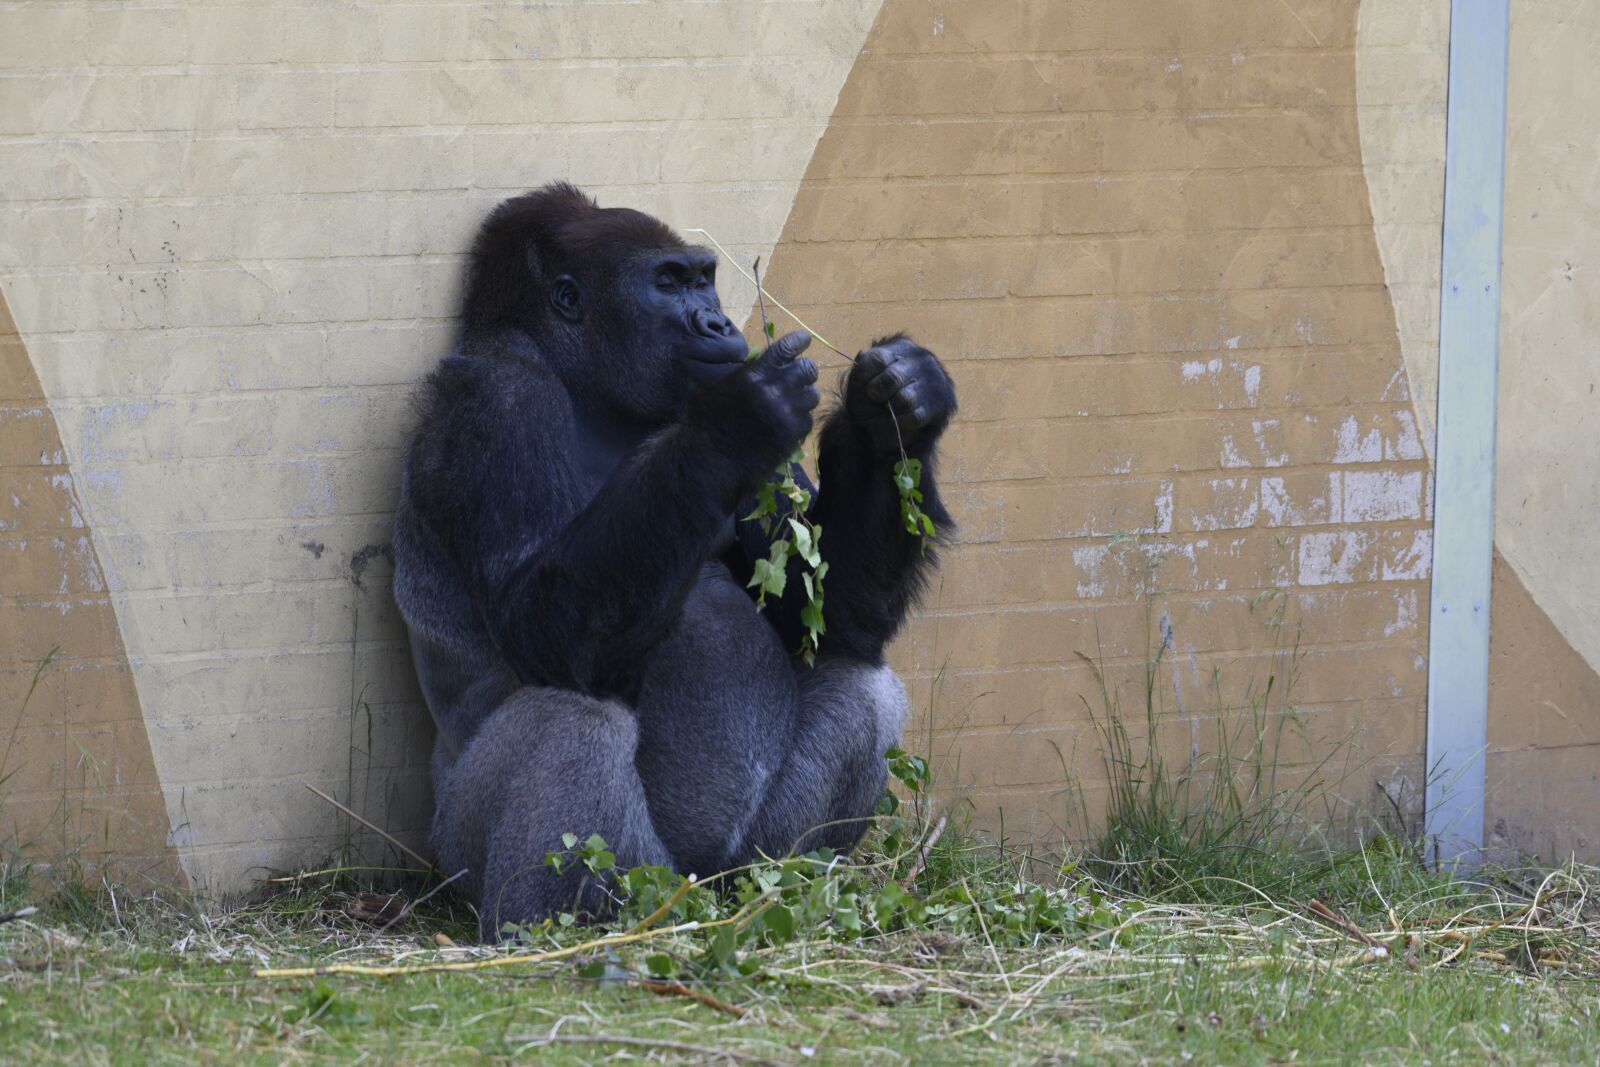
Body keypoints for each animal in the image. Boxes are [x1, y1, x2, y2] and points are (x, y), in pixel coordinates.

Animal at [392, 185, 953, 940]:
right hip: (564, 865)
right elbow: (536, 624)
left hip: (725, 873)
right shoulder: (498, 403)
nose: (716, 320)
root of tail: (690, 889)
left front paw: (892, 411)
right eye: (667, 282)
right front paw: (737, 420)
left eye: (703, 279)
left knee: (865, 687)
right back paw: (545, 929)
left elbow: (828, 613)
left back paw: (790, 888)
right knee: (572, 719)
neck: (589, 387)